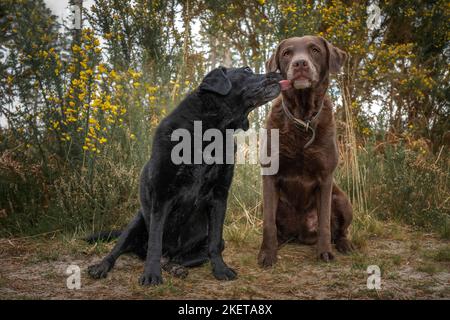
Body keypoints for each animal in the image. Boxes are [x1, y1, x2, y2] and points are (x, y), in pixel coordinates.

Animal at [87, 65, 282, 284]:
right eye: (247, 70)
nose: (279, 72)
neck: (210, 131)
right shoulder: (161, 196)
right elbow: (155, 242)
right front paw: (151, 275)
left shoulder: (219, 197)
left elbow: (214, 242)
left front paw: (220, 270)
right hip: (136, 222)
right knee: (120, 249)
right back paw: (101, 266)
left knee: (179, 258)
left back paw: (176, 268)